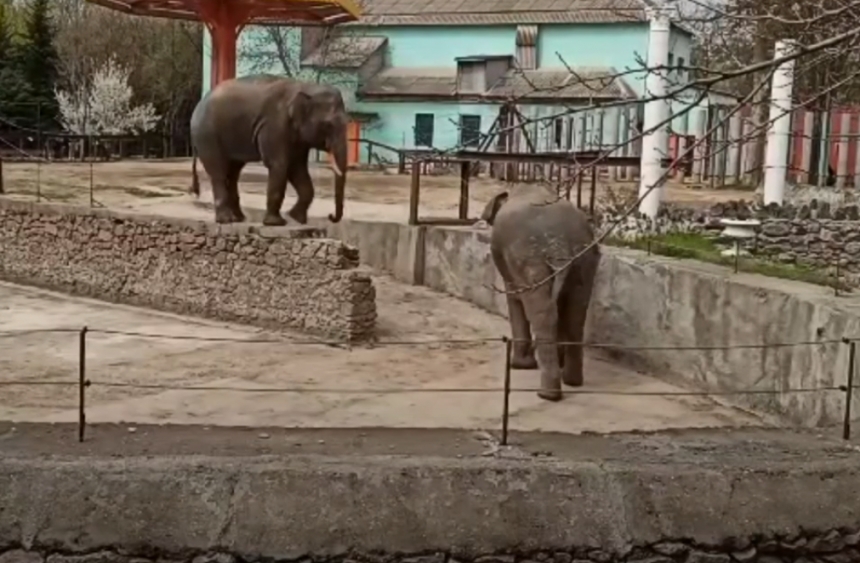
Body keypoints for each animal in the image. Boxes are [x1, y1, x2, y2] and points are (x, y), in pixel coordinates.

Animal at [190, 74, 348, 226]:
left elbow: (298, 168)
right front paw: (276, 223)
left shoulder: (297, 138)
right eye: (328, 125)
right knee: (219, 172)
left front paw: (297, 219)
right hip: (207, 136)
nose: (331, 216)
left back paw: (239, 218)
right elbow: (279, 165)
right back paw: (226, 220)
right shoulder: (275, 126)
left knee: (233, 173)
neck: (305, 86)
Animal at [480, 188, 600, 400]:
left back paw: (547, 394)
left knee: (543, 313)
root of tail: (560, 244)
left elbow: (514, 299)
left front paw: (520, 365)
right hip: (584, 259)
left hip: (530, 258)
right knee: (575, 314)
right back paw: (572, 381)